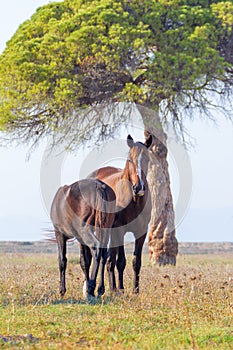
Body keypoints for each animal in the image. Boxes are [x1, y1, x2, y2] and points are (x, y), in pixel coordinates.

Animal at [83, 134, 152, 292]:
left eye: (147, 158)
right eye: (130, 159)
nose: (139, 187)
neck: (134, 201)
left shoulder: (141, 232)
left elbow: (136, 262)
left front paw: (135, 291)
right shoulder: (119, 231)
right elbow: (119, 261)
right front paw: (119, 289)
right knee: (106, 257)